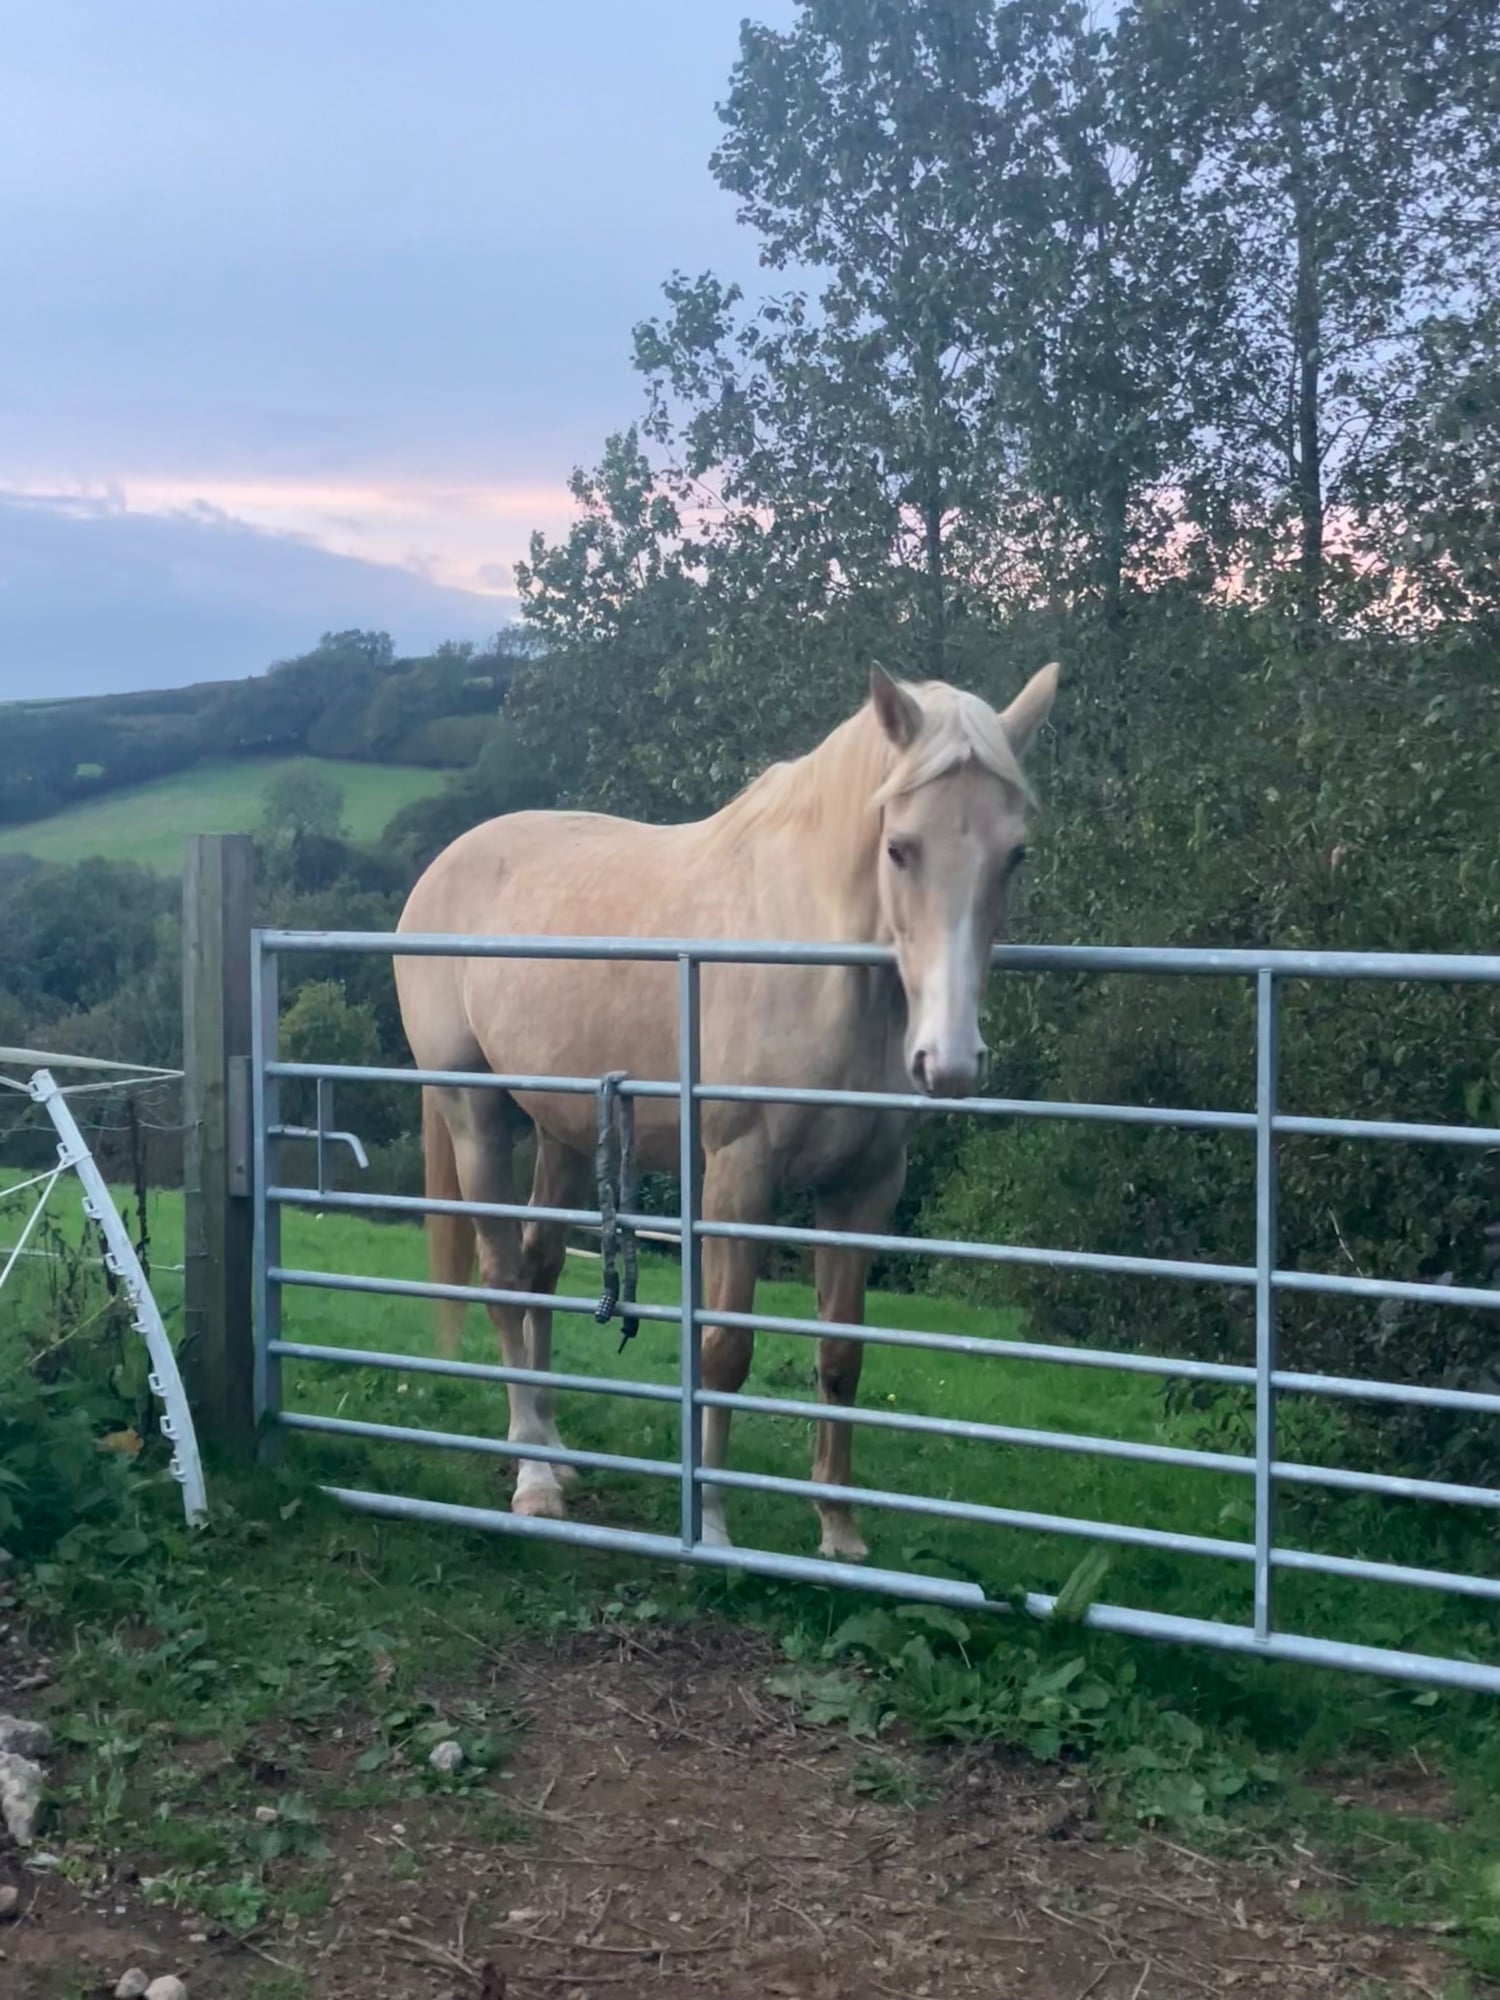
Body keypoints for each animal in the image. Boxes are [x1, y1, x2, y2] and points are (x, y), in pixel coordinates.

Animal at [393, 662, 1060, 1559]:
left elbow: (841, 1358)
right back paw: (534, 1478)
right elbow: (724, 1353)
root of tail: (443, 866)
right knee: (504, 1281)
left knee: (539, 1269)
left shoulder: (864, 1188)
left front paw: (839, 1533)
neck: (813, 956)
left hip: (566, 1131)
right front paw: (710, 1524)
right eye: (899, 848)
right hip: (474, 1113)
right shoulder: (739, 1176)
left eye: (1014, 855)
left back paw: (555, 1449)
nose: (948, 1062)